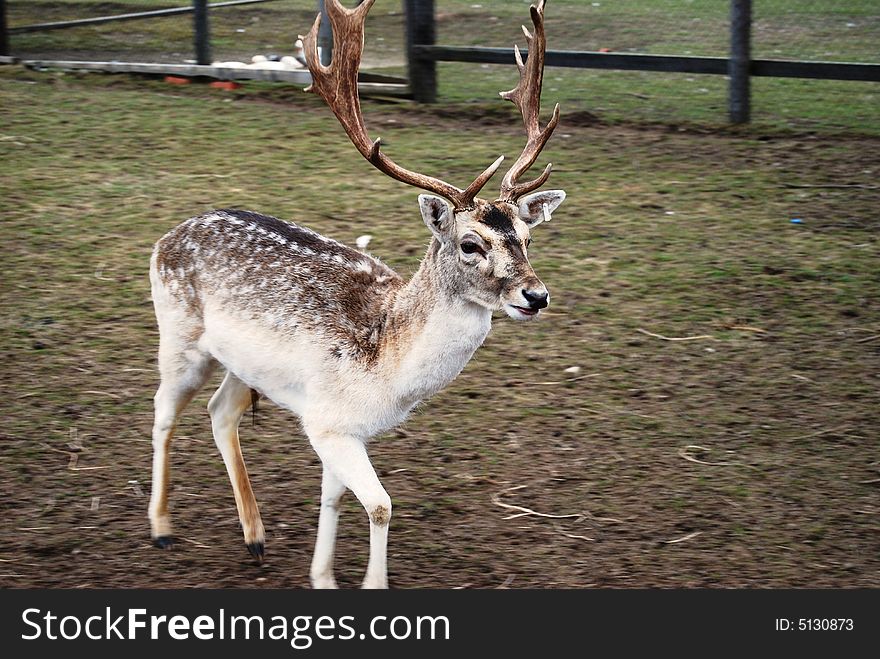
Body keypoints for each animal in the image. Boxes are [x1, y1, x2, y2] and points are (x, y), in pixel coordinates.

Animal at [148, 0, 568, 588]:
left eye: (527, 238)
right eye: (470, 244)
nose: (536, 295)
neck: (387, 371)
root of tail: (167, 235)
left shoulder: (344, 428)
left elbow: (335, 497)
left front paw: (321, 576)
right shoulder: (326, 421)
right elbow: (380, 504)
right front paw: (369, 582)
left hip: (242, 365)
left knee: (220, 411)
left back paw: (255, 537)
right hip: (179, 335)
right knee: (163, 410)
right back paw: (161, 527)